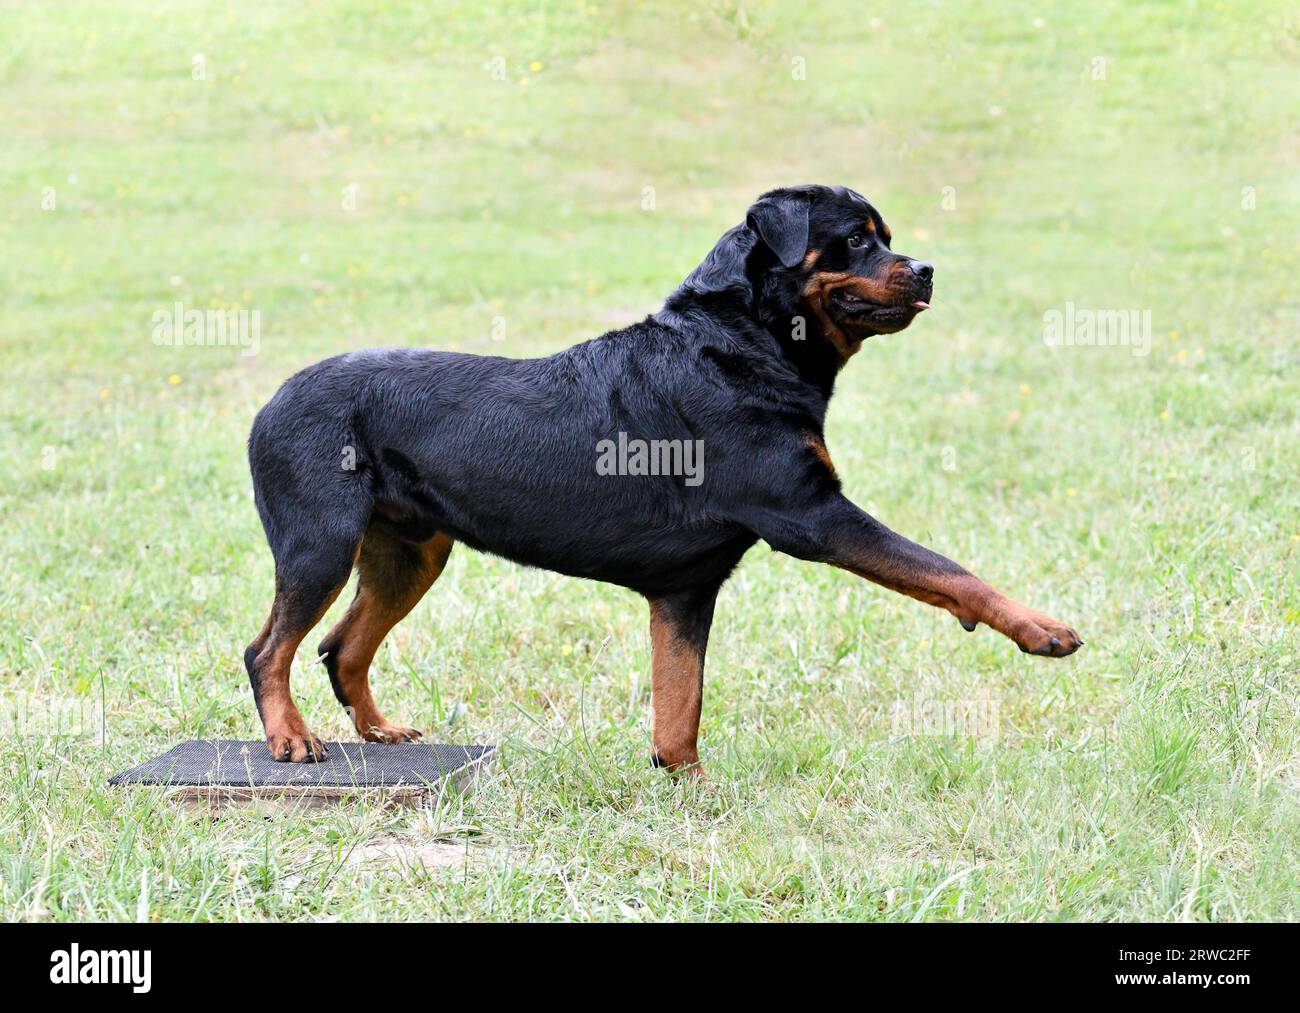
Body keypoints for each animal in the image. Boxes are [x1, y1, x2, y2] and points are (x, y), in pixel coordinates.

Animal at [244, 184, 1076, 769]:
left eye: (889, 240)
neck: (744, 344)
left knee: (341, 646)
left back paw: (380, 729)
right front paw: (1041, 627)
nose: (928, 268)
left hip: (412, 550)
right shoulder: (813, 514)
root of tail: (269, 399)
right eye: (855, 240)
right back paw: (292, 740)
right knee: (268, 650)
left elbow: (680, 700)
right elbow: (945, 567)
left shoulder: (684, 588)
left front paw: (684, 779)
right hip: (321, 541)